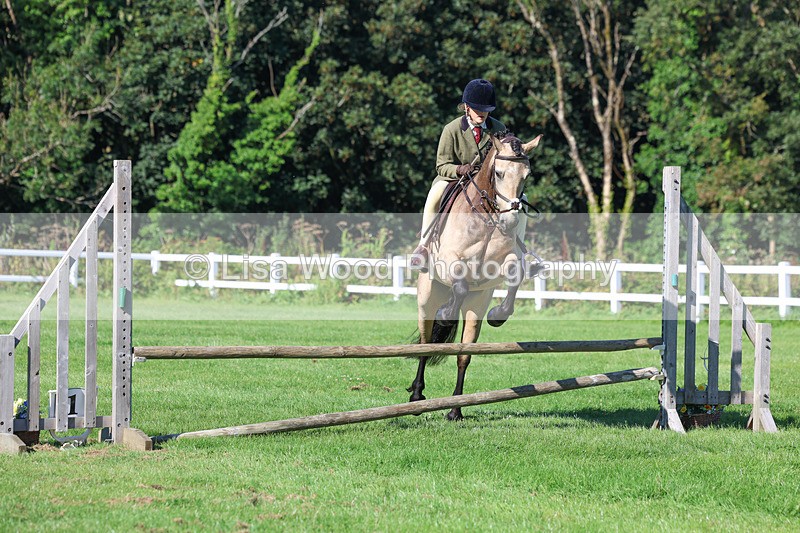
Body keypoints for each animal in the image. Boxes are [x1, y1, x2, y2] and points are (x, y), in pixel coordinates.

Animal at [408, 131, 543, 420]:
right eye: (499, 173)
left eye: (526, 175)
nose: (510, 222)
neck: (487, 218)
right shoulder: (450, 261)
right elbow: (458, 285)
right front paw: (446, 315)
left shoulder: (503, 265)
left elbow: (515, 275)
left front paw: (499, 315)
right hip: (427, 297)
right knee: (425, 343)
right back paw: (416, 396)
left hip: (475, 304)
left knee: (463, 355)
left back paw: (455, 410)